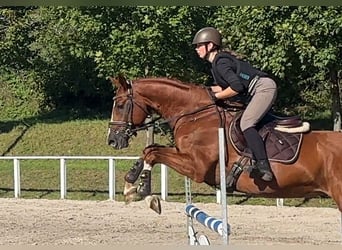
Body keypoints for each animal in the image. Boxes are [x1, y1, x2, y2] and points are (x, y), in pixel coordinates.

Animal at [107, 74, 342, 215]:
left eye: (120, 105)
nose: (112, 139)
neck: (195, 115)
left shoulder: (197, 168)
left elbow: (153, 153)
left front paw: (144, 192)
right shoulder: (184, 155)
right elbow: (150, 150)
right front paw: (131, 186)